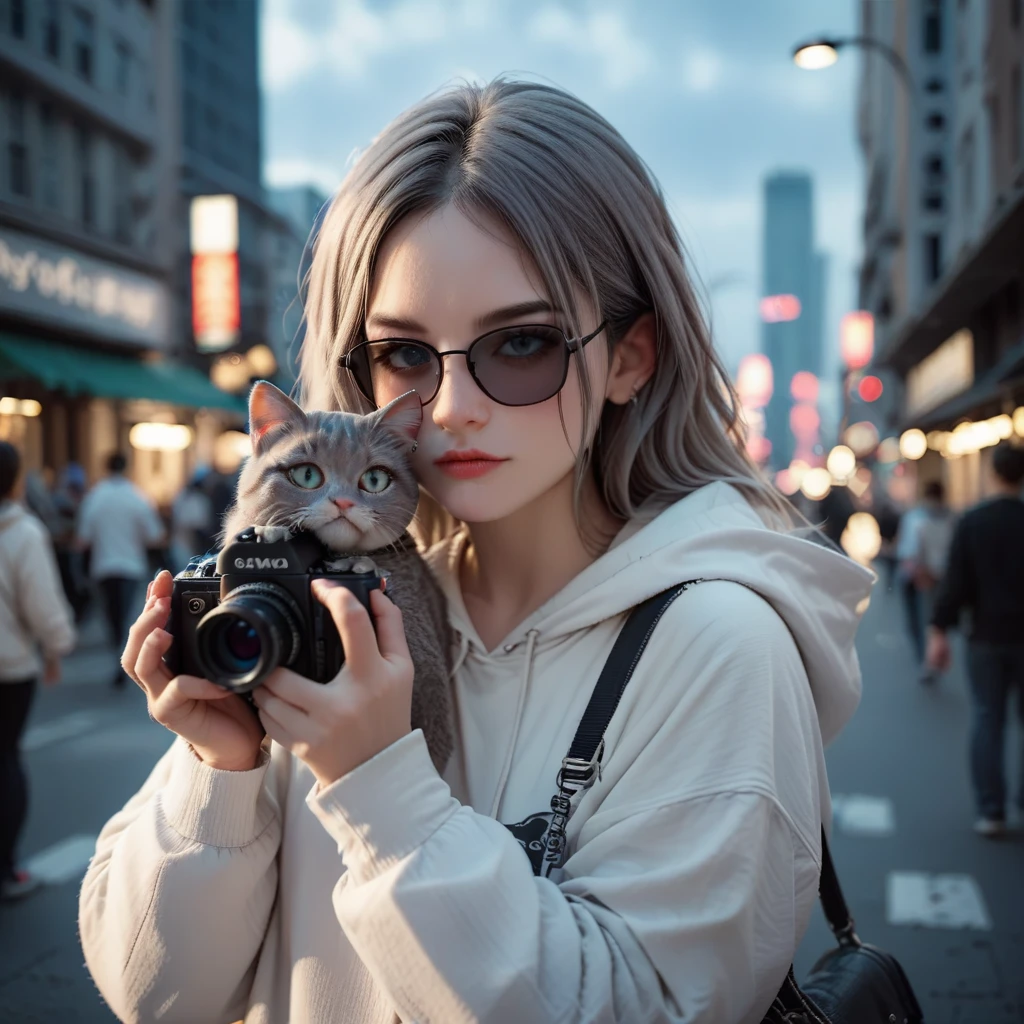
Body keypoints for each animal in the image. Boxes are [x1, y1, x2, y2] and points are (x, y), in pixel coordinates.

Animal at [226, 380, 454, 770]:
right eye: (306, 474)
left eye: (375, 479)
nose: (343, 503)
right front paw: (269, 532)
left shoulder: (432, 693)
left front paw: (358, 567)